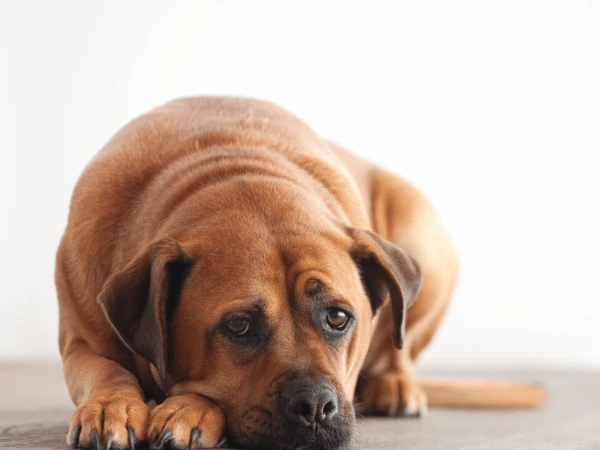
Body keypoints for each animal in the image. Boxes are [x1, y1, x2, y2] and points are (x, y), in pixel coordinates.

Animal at [55, 96, 544, 448]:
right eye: (238, 325)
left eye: (339, 317)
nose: (314, 407)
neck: (227, 164)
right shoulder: (80, 341)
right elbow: (105, 371)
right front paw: (111, 405)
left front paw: (187, 407)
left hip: (421, 234)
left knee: (401, 348)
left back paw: (397, 385)